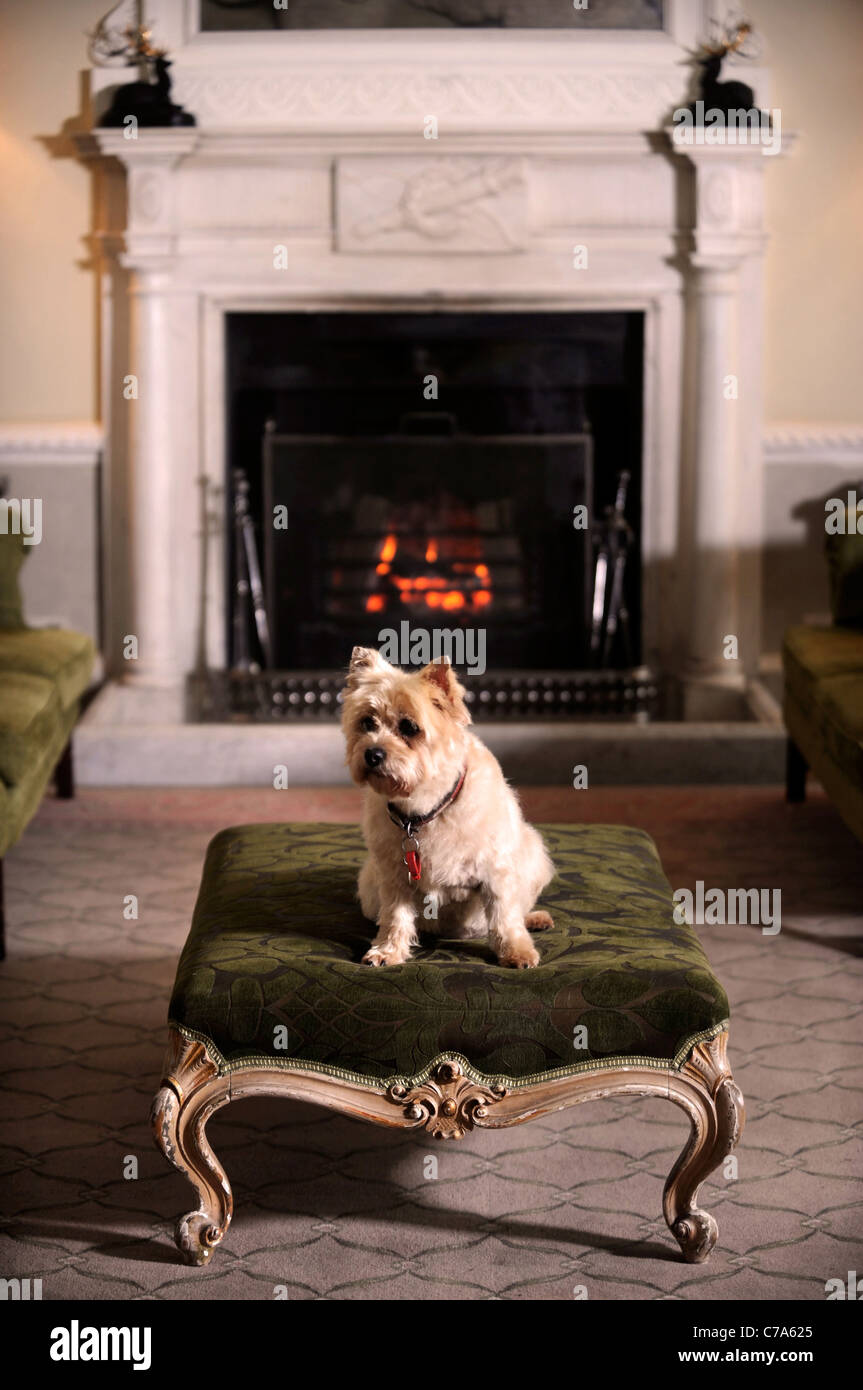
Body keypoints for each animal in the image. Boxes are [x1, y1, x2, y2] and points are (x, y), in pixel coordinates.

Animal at [336, 647, 553, 967]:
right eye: (367, 723)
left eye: (409, 727)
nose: (372, 754)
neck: (423, 809)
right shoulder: (394, 876)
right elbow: (395, 917)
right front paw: (388, 950)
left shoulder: (497, 871)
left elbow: (504, 916)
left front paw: (517, 951)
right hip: (369, 883)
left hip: (533, 854)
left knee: (519, 909)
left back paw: (535, 919)